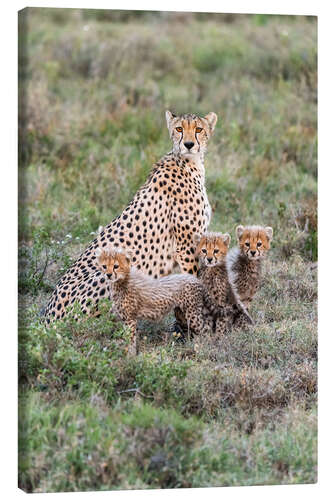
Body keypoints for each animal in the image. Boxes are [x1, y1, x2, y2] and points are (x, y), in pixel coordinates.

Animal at [43, 110, 215, 322]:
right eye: (179, 129)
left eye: (198, 129)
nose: (189, 144)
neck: (189, 162)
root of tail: (46, 318)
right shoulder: (186, 246)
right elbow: (195, 280)